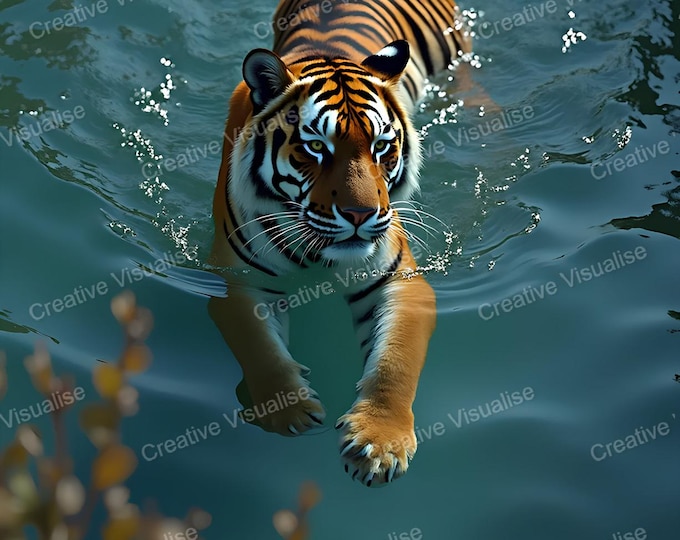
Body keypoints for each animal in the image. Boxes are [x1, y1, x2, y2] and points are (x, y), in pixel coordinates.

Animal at [208, 0, 471, 487]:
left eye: (383, 146)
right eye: (315, 148)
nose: (360, 214)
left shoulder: (398, 282)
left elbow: (394, 363)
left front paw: (379, 445)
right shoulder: (241, 282)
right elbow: (258, 348)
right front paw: (288, 408)